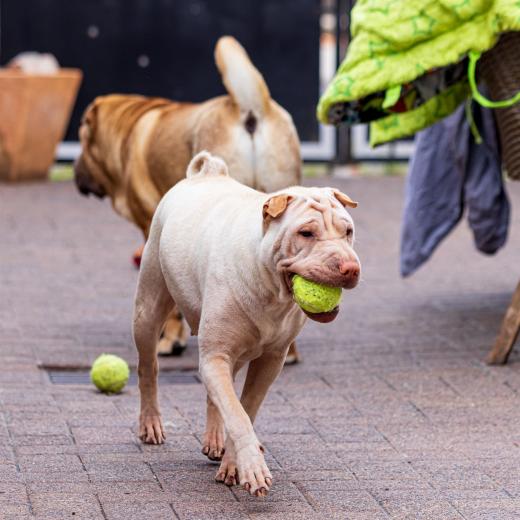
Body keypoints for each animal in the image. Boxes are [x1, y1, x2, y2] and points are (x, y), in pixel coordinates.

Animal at [74, 36, 302, 362]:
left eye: (82, 141)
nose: (74, 172)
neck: (128, 129)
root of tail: (248, 110)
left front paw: (170, 340)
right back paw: (288, 351)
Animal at [133, 152, 360, 496]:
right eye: (306, 233)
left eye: (347, 231)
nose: (350, 268)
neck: (270, 288)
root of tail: (207, 173)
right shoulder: (216, 355)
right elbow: (238, 416)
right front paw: (251, 467)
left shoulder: (270, 361)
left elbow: (245, 408)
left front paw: (233, 462)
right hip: (149, 307)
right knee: (149, 368)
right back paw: (150, 424)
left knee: (216, 395)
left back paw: (215, 442)